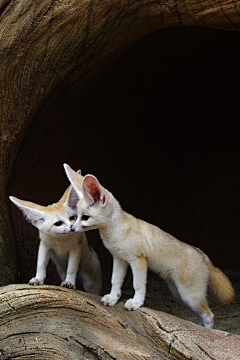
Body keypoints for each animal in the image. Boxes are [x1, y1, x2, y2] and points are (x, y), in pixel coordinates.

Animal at [63, 165, 234, 328]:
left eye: (85, 217)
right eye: (76, 216)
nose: (72, 228)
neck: (116, 230)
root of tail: (202, 254)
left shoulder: (138, 260)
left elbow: (138, 284)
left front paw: (136, 303)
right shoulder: (119, 258)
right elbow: (115, 281)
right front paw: (112, 298)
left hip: (189, 294)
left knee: (209, 315)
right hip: (180, 294)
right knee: (201, 316)